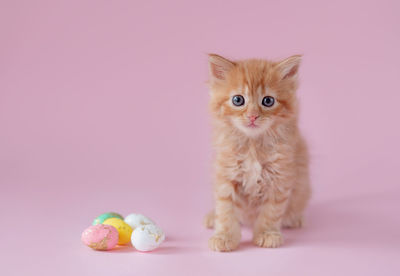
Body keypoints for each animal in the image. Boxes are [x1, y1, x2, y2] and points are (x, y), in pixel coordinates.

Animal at [205, 52, 310, 251]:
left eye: (268, 101)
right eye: (238, 100)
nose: (253, 116)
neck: (252, 145)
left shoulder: (280, 178)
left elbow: (271, 211)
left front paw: (267, 234)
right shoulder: (226, 174)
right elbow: (225, 209)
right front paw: (224, 236)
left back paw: (294, 218)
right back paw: (211, 217)